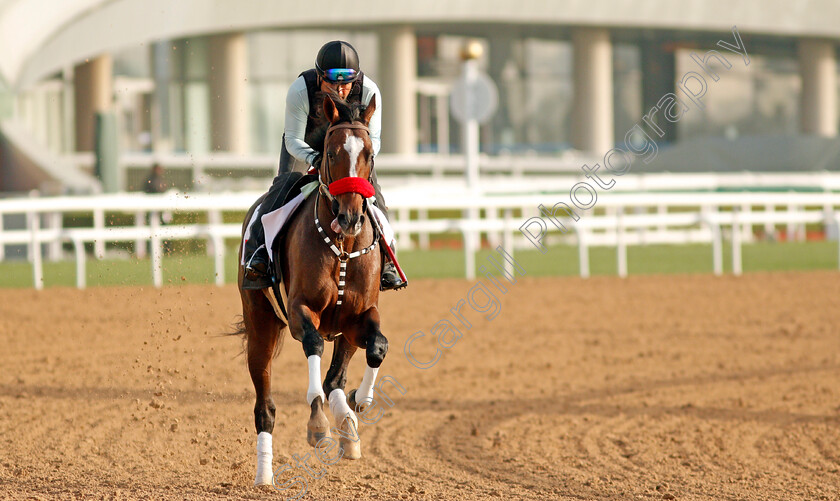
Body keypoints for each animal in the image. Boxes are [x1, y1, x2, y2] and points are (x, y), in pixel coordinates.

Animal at [235, 94, 388, 484]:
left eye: (369, 154)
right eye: (331, 153)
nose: (350, 217)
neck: (343, 246)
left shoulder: (358, 318)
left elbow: (378, 347)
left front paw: (360, 400)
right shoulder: (299, 312)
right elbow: (314, 345)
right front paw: (318, 424)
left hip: (344, 333)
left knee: (336, 378)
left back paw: (348, 428)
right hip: (260, 325)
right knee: (265, 407)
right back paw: (264, 476)